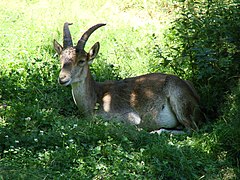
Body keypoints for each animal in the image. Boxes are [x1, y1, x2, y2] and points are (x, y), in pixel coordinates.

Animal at [53, 22, 203, 134]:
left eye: (82, 60)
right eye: (61, 58)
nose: (62, 78)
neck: (96, 98)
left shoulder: (129, 116)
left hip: (179, 100)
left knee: (192, 128)